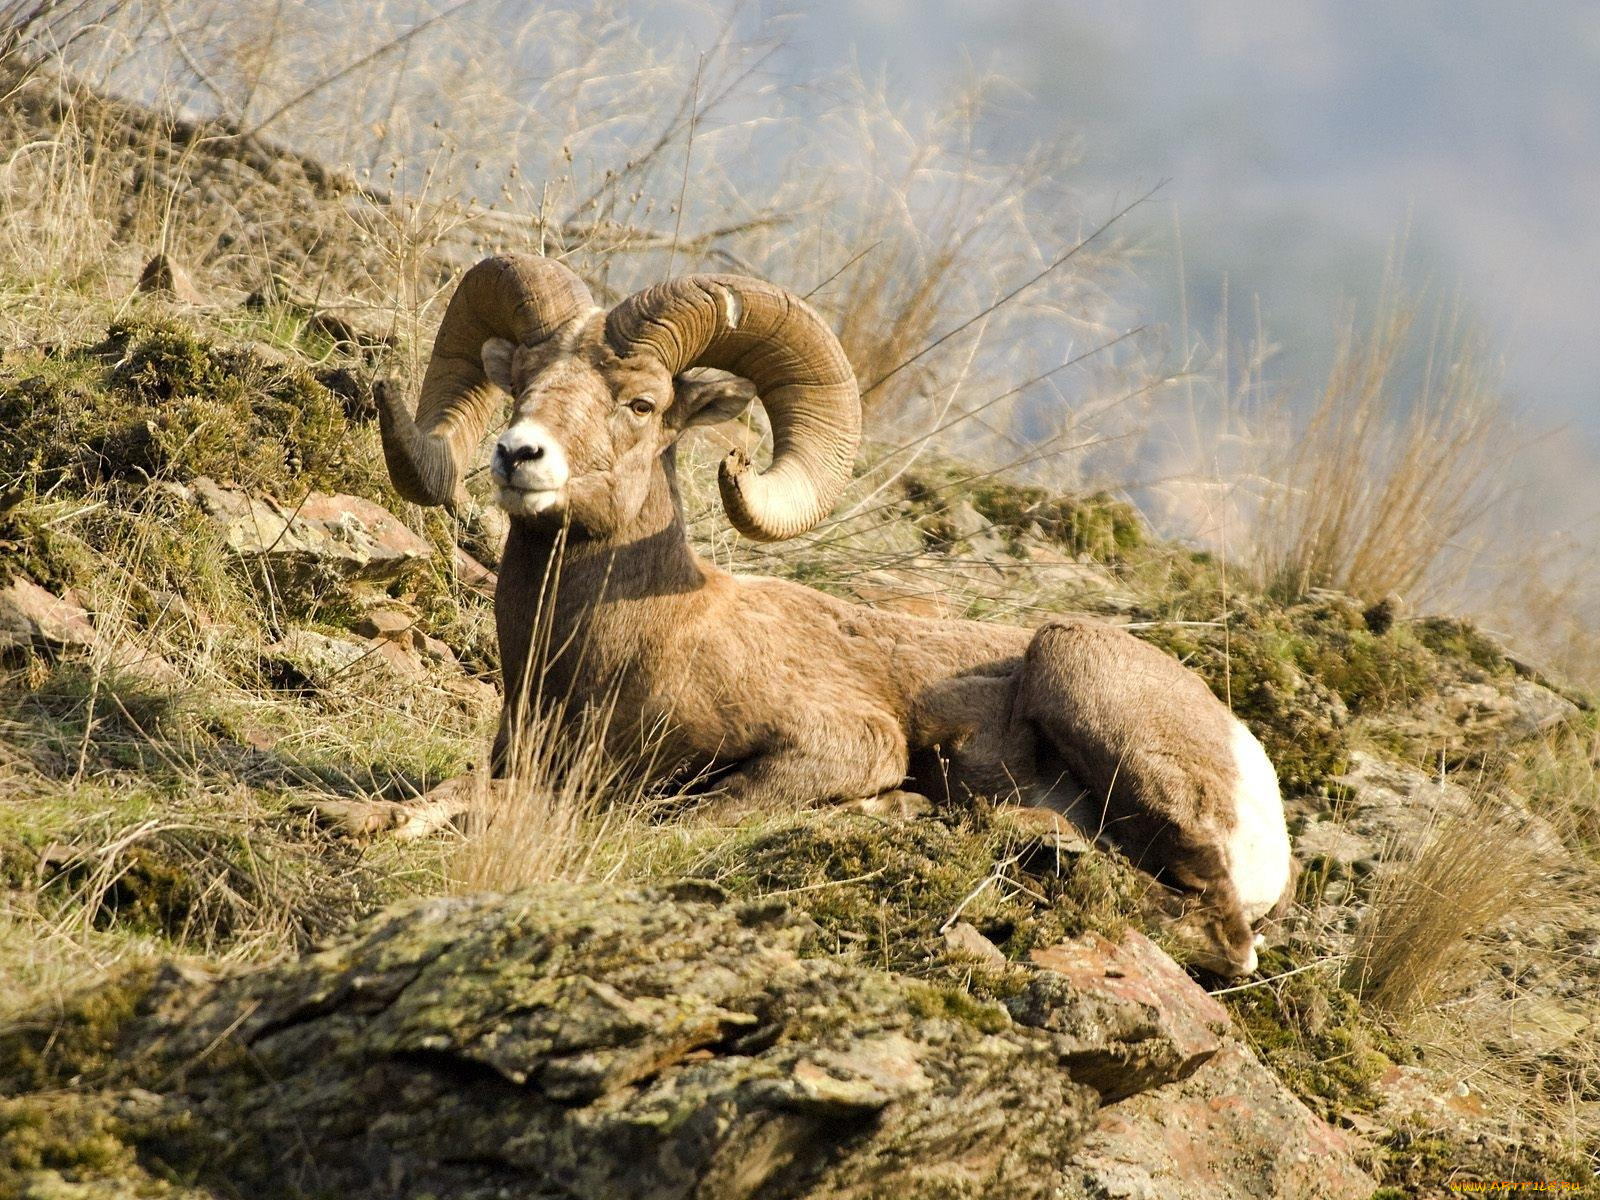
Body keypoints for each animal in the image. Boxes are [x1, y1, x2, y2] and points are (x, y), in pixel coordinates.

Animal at [376, 254, 1293, 975]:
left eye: (639, 403)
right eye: (520, 384)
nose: (518, 454)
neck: (631, 647)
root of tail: (1253, 772)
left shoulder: (838, 744)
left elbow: (675, 813)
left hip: (1078, 674)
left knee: (1220, 932)